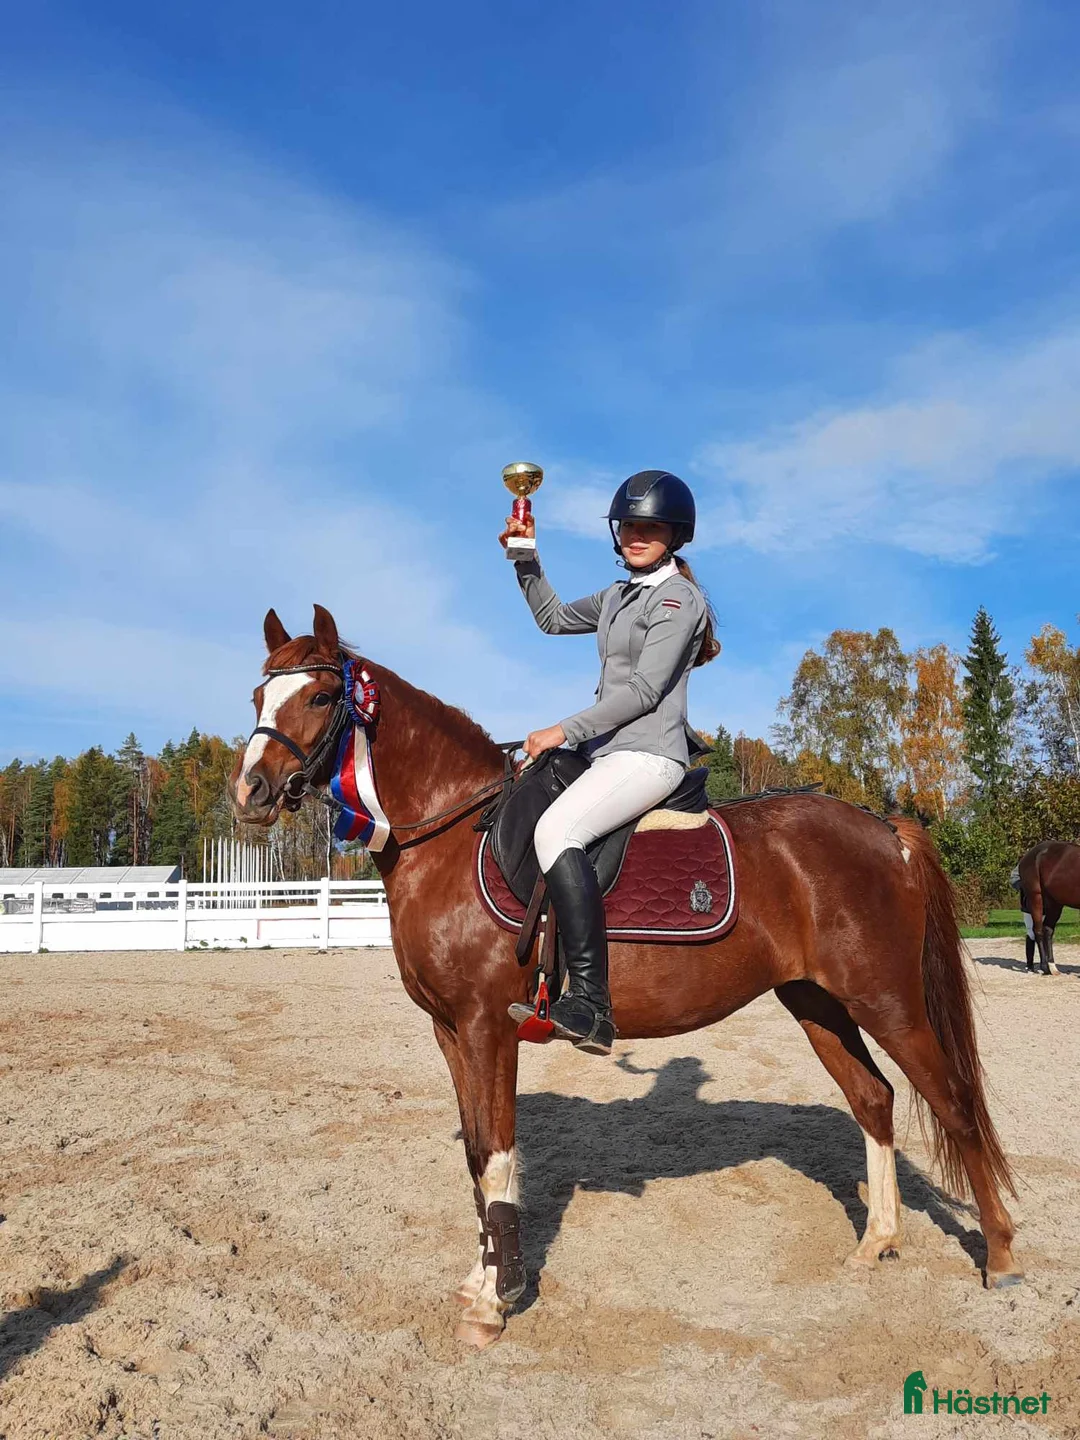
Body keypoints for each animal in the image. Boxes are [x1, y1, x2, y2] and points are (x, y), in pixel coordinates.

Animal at [228, 605, 1021, 1348]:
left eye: (323, 696)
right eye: (258, 696)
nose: (252, 791)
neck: (451, 836)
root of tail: (886, 828)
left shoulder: (487, 1029)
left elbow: (498, 1155)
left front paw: (496, 1301)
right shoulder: (449, 1032)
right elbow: (476, 1155)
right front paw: (480, 1281)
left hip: (888, 1001)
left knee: (952, 1101)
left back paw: (1003, 1259)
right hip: (818, 1002)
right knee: (874, 1099)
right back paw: (877, 1243)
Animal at [1017, 840, 1080, 976]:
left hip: (1054, 903)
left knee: (1048, 930)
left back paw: (1052, 967)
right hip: (1036, 897)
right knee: (1038, 931)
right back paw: (1045, 967)